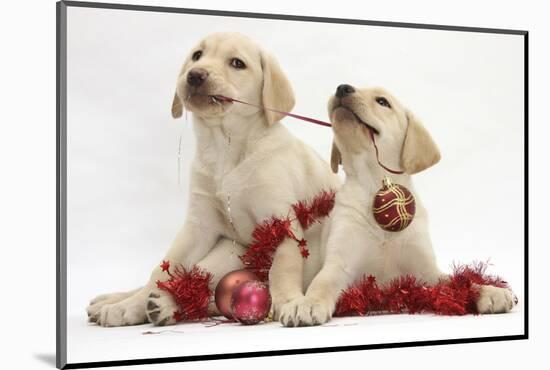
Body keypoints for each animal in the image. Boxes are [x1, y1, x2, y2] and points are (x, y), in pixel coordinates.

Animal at [87, 32, 338, 326]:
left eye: (237, 63)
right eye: (197, 56)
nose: (195, 75)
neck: (224, 148)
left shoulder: (281, 221)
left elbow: (283, 266)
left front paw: (289, 301)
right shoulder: (198, 227)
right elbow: (162, 270)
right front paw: (130, 305)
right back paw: (123, 302)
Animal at [280, 84, 516, 326]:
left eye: (383, 102)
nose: (342, 88)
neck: (375, 181)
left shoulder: (427, 271)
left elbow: (458, 282)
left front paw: (487, 290)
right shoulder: (339, 264)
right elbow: (321, 284)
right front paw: (306, 303)